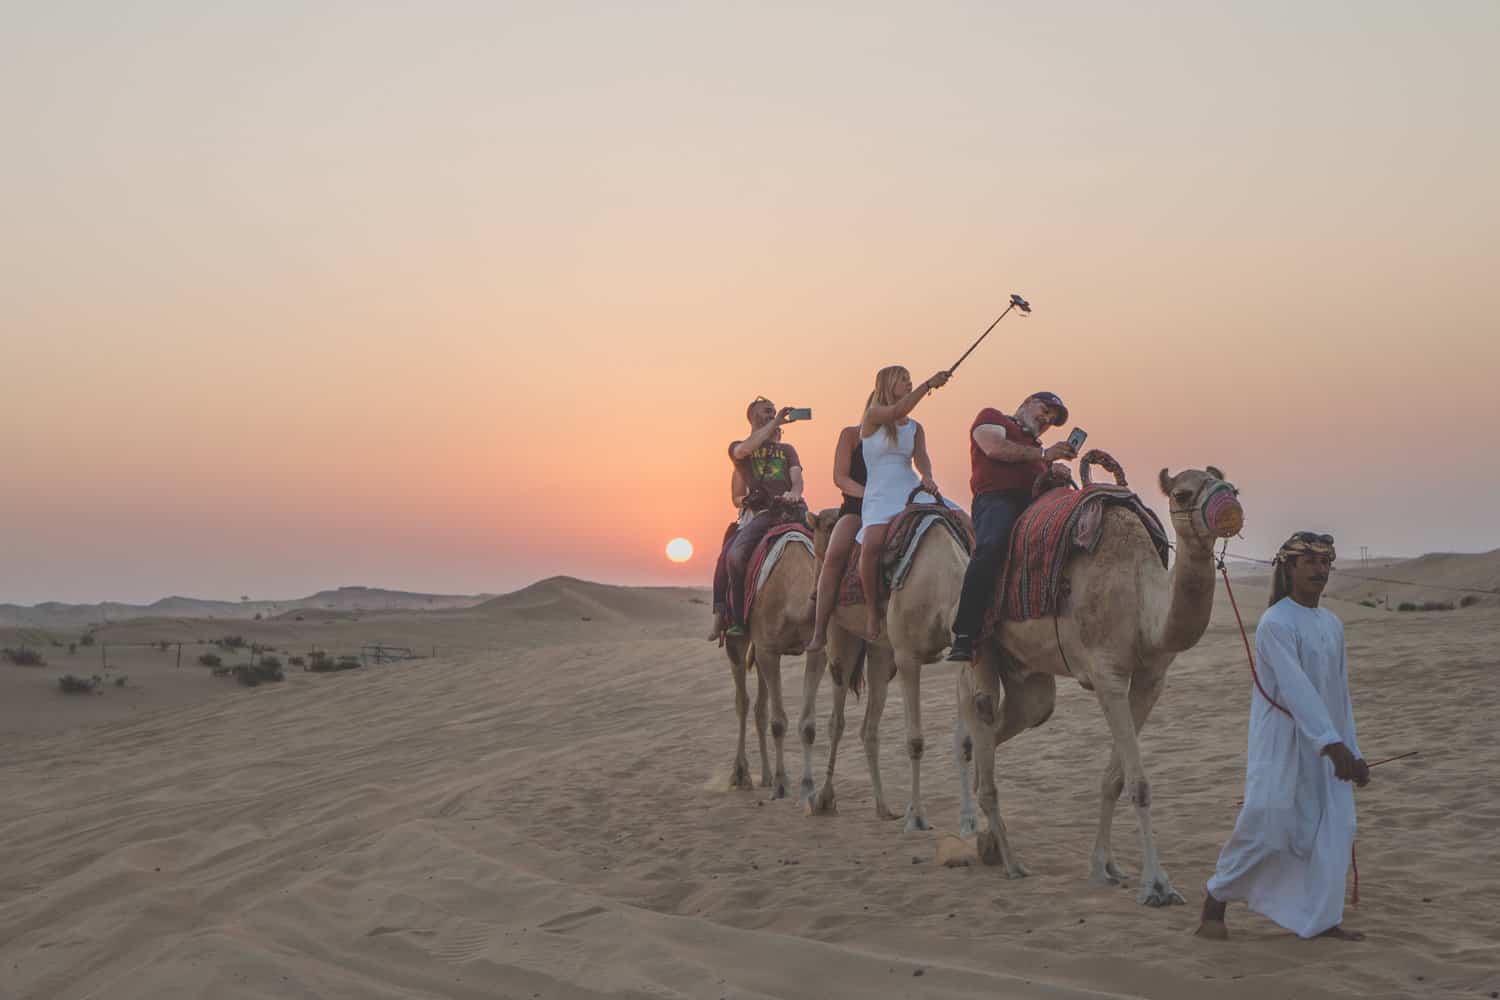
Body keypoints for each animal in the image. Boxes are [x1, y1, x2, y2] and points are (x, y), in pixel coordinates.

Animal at [720, 521, 816, 803]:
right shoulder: (768, 650)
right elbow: (779, 722)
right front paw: (783, 785)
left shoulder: (817, 649)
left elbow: (808, 725)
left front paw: (808, 787)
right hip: (738, 640)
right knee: (743, 701)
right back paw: (741, 775)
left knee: (759, 708)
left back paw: (766, 775)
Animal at [804, 503, 966, 833]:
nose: (813, 593)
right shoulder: (907, 657)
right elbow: (915, 740)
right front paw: (917, 816)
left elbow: (969, 739)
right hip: (841, 634)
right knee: (837, 720)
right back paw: (825, 799)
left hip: (880, 651)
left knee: (868, 726)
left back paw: (883, 808)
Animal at [960, 470, 1242, 905]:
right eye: (1182, 493)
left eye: (1226, 483)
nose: (1229, 506)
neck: (1142, 602)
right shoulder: (1107, 674)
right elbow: (1139, 784)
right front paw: (1157, 885)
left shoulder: (1150, 680)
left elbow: (1115, 779)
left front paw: (1105, 867)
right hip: (980, 643)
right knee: (979, 707)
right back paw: (1011, 862)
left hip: (1026, 675)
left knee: (1011, 719)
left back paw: (987, 841)